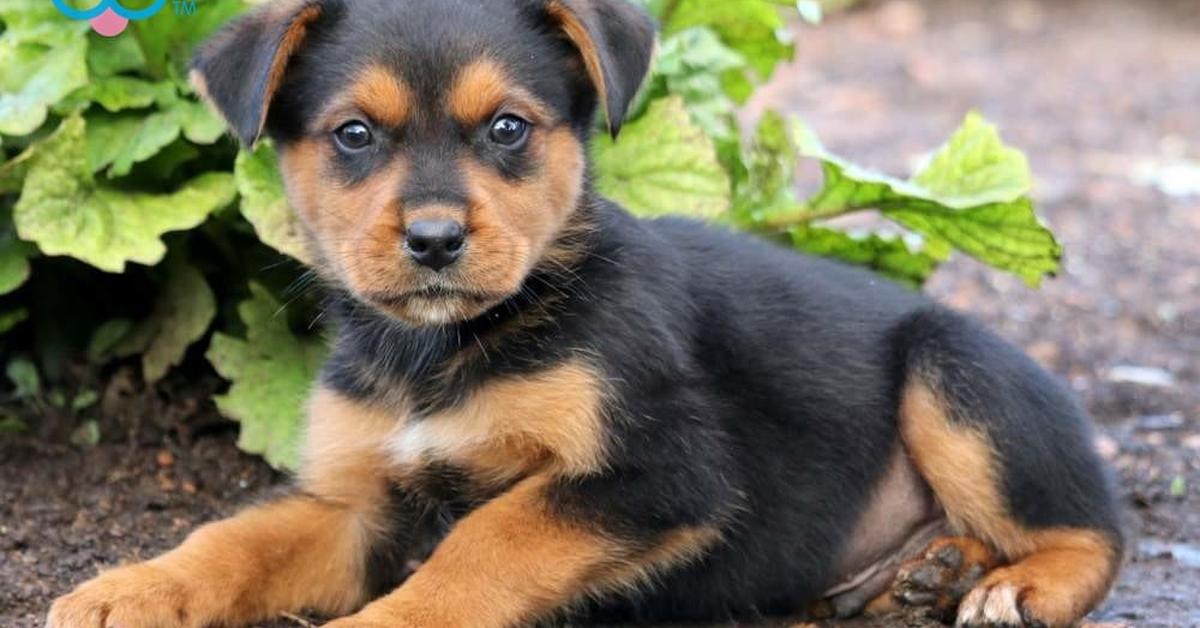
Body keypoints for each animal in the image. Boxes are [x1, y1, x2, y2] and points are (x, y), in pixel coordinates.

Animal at [49, 1, 1123, 628]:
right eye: (353, 135)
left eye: (508, 128)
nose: (434, 240)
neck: (448, 346)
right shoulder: (357, 506)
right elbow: (235, 539)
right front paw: (128, 589)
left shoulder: (659, 473)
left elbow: (482, 546)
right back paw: (923, 576)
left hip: (958, 375)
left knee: (1093, 534)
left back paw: (1009, 586)